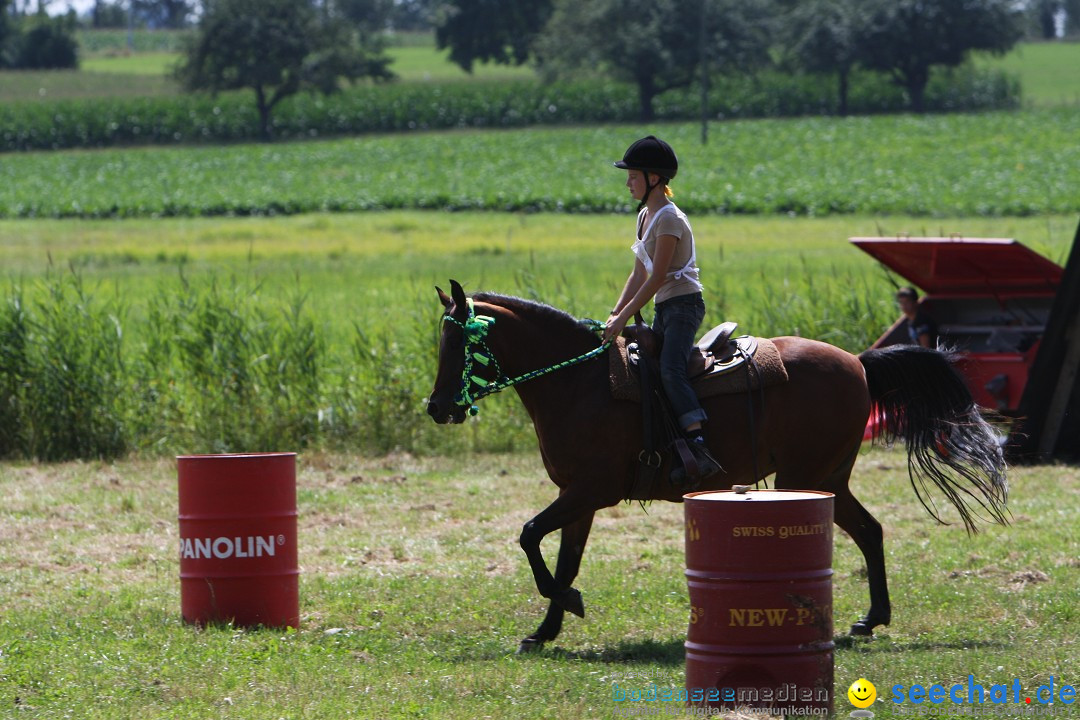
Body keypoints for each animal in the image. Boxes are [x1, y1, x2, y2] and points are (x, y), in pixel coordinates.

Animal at [425, 280, 1006, 651]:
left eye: (458, 341)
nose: (437, 407)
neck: (579, 383)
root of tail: (858, 364)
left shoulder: (591, 490)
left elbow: (528, 535)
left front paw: (566, 604)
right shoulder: (578, 498)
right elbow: (561, 558)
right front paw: (546, 629)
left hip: (806, 478)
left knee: (862, 531)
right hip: (827, 477)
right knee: (871, 531)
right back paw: (870, 620)